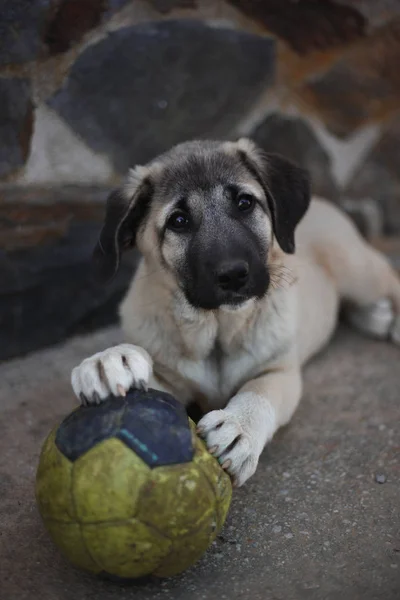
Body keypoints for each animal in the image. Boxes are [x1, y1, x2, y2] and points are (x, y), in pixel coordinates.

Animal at [70, 138, 398, 486]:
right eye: (178, 221)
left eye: (244, 203)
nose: (233, 275)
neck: (216, 330)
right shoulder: (171, 380)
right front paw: (111, 361)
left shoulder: (278, 371)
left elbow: (258, 392)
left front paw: (238, 428)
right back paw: (377, 316)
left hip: (357, 269)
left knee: (389, 278)